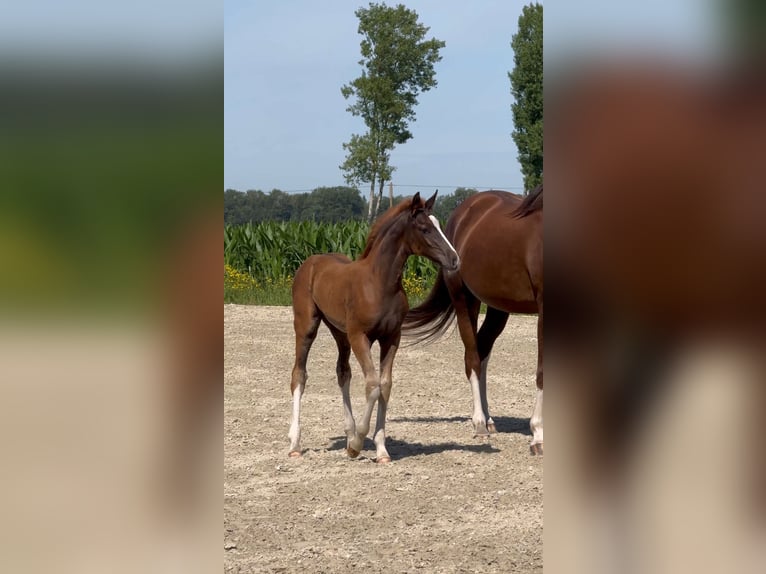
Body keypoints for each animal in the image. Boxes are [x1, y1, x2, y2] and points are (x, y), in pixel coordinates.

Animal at [286, 192, 456, 464]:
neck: (380, 283)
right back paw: (295, 443)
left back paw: (348, 433)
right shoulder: (360, 336)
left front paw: (380, 450)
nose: (455, 259)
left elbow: (385, 385)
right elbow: (373, 385)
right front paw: (357, 445)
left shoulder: (391, 338)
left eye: (438, 224)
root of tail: (311, 261)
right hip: (307, 327)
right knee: (299, 375)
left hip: (340, 333)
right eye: (424, 228)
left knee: (343, 372)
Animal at [404, 187, 544, 456]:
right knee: (472, 355)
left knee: (482, 350)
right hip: (464, 299)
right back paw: (479, 421)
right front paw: (538, 436)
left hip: (499, 307)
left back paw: (489, 420)